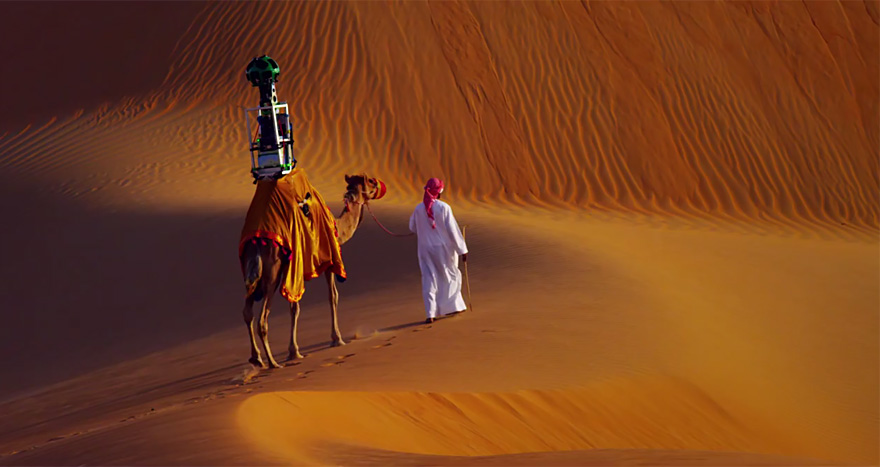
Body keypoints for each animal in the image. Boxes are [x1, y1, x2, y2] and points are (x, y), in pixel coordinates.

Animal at [240, 174, 384, 369]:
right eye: (370, 181)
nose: (379, 184)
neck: (337, 227)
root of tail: (255, 242)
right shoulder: (329, 261)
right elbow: (333, 296)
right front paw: (337, 339)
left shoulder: (295, 272)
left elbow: (294, 307)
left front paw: (294, 351)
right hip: (272, 273)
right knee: (262, 320)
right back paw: (273, 363)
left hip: (250, 272)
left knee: (248, 312)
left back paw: (257, 358)